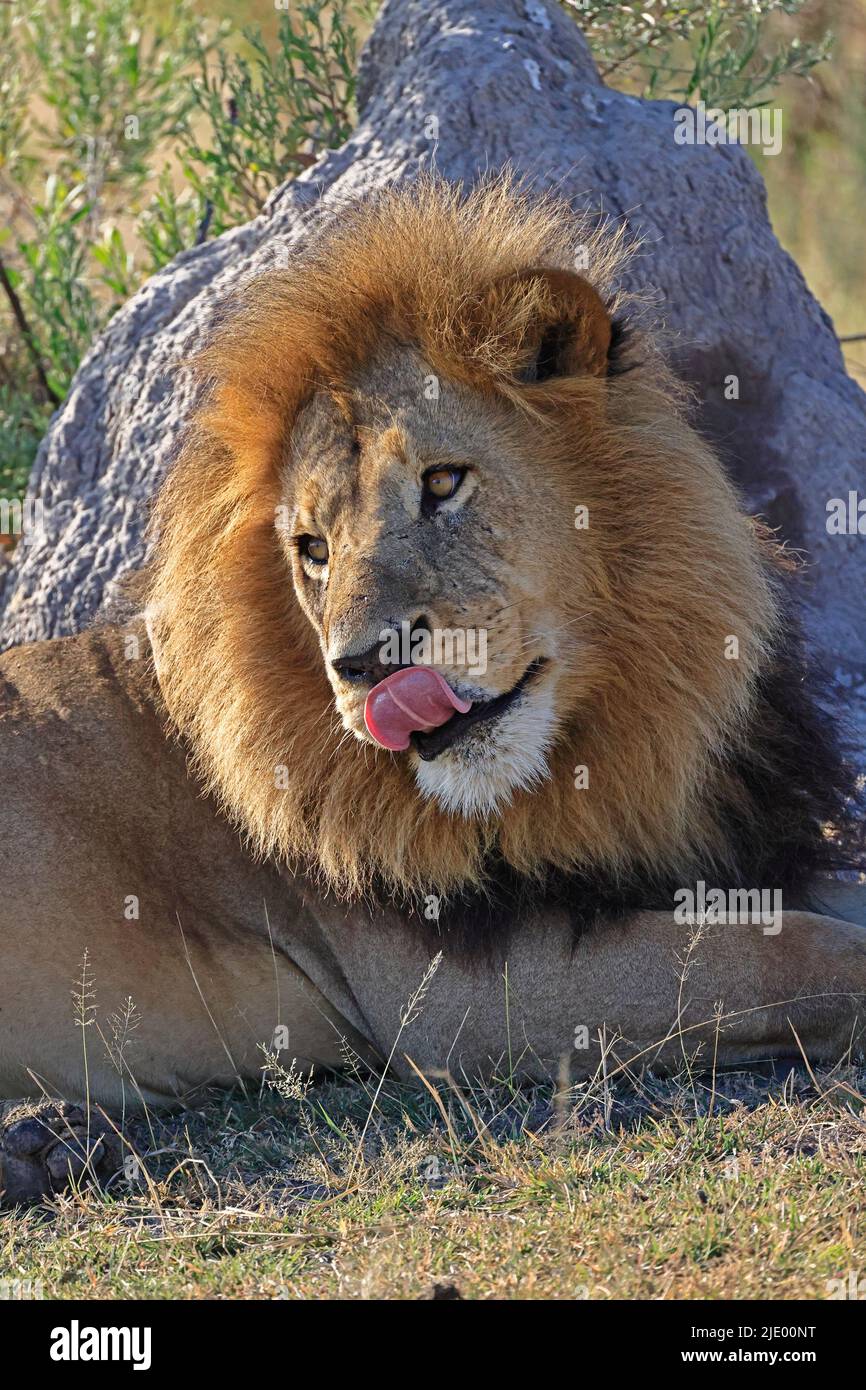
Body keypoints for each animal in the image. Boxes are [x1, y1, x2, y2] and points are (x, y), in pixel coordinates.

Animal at [1, 176, 865, 1203]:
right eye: (313, 549)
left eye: (444, 483)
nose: (364, 665)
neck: (616, 735)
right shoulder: (463, 993)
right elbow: (802, 953)